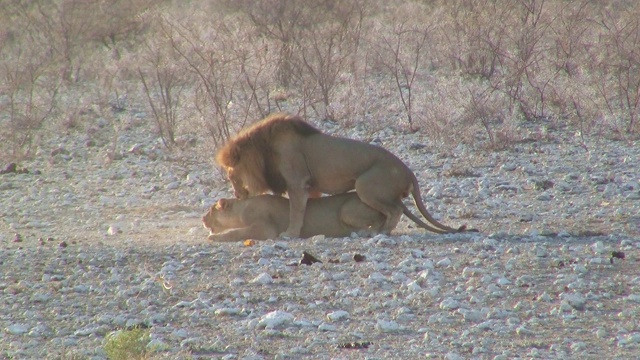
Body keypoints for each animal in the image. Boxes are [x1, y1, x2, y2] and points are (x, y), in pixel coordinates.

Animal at [215, 111, 464, 238]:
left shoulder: (297, 182)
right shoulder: (310, 186)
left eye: (231, 176)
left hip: (365, 185)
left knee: (394, 211)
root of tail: (408, 171)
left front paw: (290, 234)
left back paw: (380, 232)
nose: (236, 196)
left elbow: (296, 210)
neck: (264, 150)